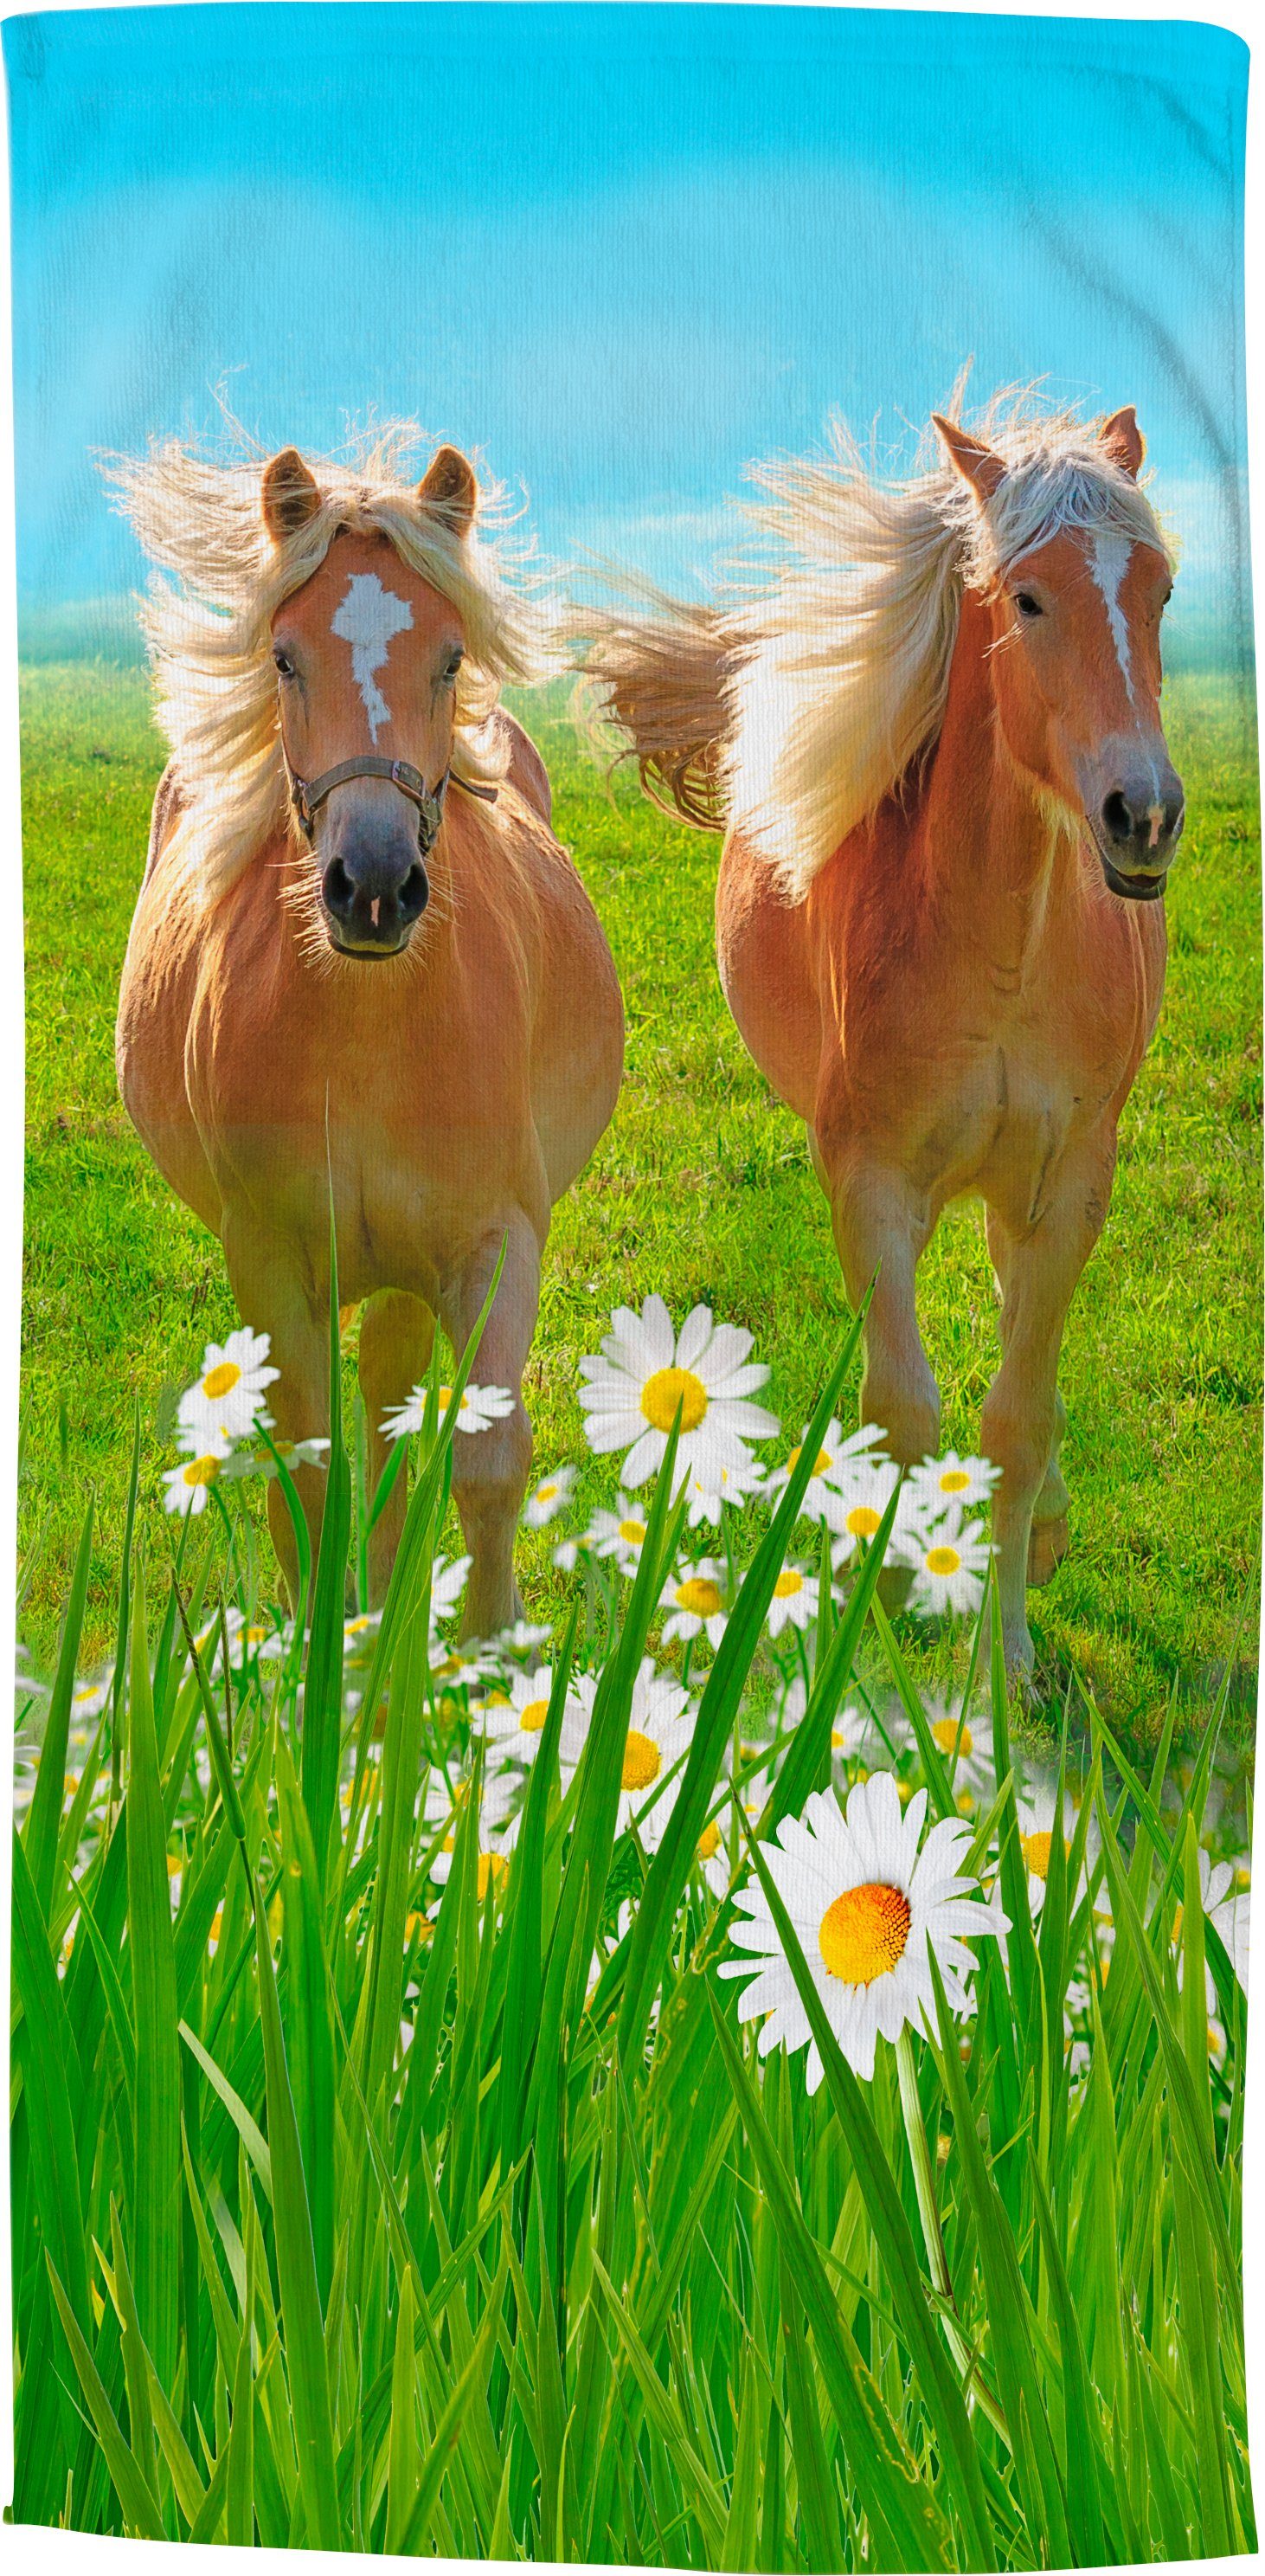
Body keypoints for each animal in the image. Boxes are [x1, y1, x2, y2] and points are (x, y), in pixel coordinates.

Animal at [111, 427, 623, 1635]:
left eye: (448, 658)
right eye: (286, 659)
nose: (375, 886)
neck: (368, 1037)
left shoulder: (495, 1245)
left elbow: (486, 1465)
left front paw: (488, 1656)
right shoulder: (267, 1261)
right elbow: (302, 1472)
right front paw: (316, 1657)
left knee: (394, 1409)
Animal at [583, 391, 1182, 1675]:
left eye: (1160, 591)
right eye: (1027, 597)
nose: (1143, 815)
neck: (999, 953)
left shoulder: (1070, 1184)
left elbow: (1017, 1420)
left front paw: (1002, 1663)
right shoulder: (869, 1185)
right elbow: (901, 1416)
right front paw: (888, 1646)